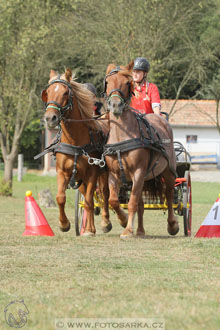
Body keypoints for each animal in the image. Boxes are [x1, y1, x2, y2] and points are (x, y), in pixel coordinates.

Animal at [41, 68, 111, 236]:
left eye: (66, 92)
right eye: (48, 92)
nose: (50, 118)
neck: (75, 141)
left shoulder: (92, 173)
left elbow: (90, 201)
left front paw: (90, 229)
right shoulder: (62, 172)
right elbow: (61, 197)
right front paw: (64, 224)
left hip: (103, 173)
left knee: (104, 193)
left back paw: (105, 223)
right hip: (81, 178)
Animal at [103, 62, 179, 238]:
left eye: (126, 83)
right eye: (108, 82)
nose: (115, 105)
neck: (122, 137)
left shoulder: (138, 171)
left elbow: (131, 203)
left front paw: (127, 230)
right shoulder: (114, 174)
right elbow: (113, 200)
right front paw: (123, 220)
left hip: (168, 172)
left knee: (169, 195)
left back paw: (172, 225)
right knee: (141, 203)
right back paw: (140, 231)